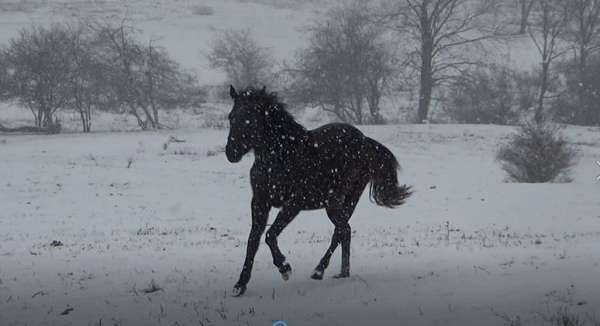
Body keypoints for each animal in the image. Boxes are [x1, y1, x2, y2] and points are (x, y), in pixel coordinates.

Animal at [225, 85, 412, 296]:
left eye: (250, 118)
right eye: (231, 117)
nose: (231, 153)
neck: (279, 156)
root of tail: (365, 140)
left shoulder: (293, 204)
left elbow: (270, 235)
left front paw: (285, 268)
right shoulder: (259, 203)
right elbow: (253, 241)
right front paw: (240, 285)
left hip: (344, 200)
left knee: (342, 230)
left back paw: (320, 271)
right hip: (335, 205)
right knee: (344, 230)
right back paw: (341, 273)